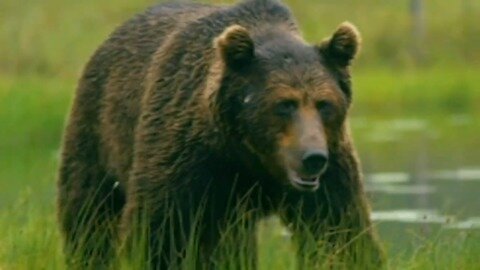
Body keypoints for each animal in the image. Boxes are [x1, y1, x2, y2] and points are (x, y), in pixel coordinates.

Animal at [57, 0, 386, 268]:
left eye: (324, 104)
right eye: (284, 104)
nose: (312, 158)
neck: (249, 153)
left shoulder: (332, 167)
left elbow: (339, 231)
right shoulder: (187, 155)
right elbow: (160, 227)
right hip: (99, 130)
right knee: (90, 213)